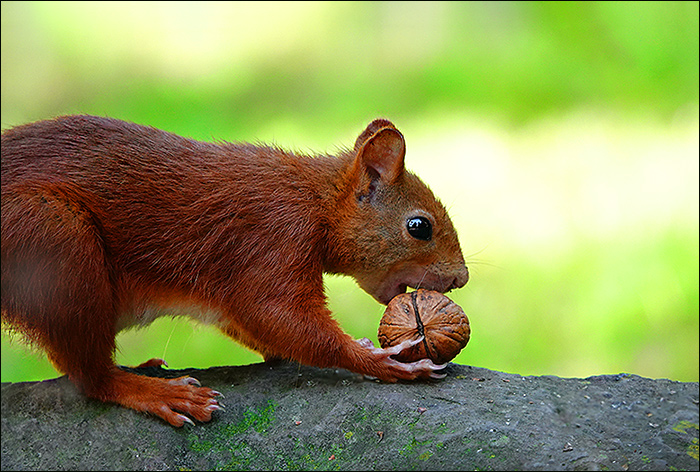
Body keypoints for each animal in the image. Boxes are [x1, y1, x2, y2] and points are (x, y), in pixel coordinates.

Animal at [1, 115, 469, 426]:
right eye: (419, 227)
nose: (462, 277)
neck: (315, 199)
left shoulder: (232, 292)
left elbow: (254, 326)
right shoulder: (274, 236)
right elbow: (280, 318)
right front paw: (382, 361)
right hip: (56, 239)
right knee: (88, 377)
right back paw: (154, 391)